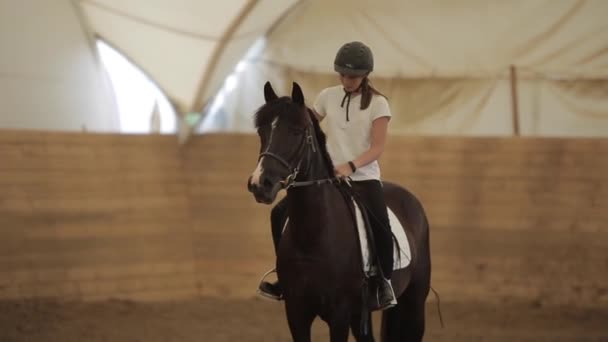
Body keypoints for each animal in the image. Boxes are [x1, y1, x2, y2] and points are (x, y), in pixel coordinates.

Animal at [245, 81, 430, 340]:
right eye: (261, 131)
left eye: (296, 132)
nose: (260, 184)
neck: (314, 235)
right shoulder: (296, 313)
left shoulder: (339, 314)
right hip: (360, 314)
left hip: (414, 302)